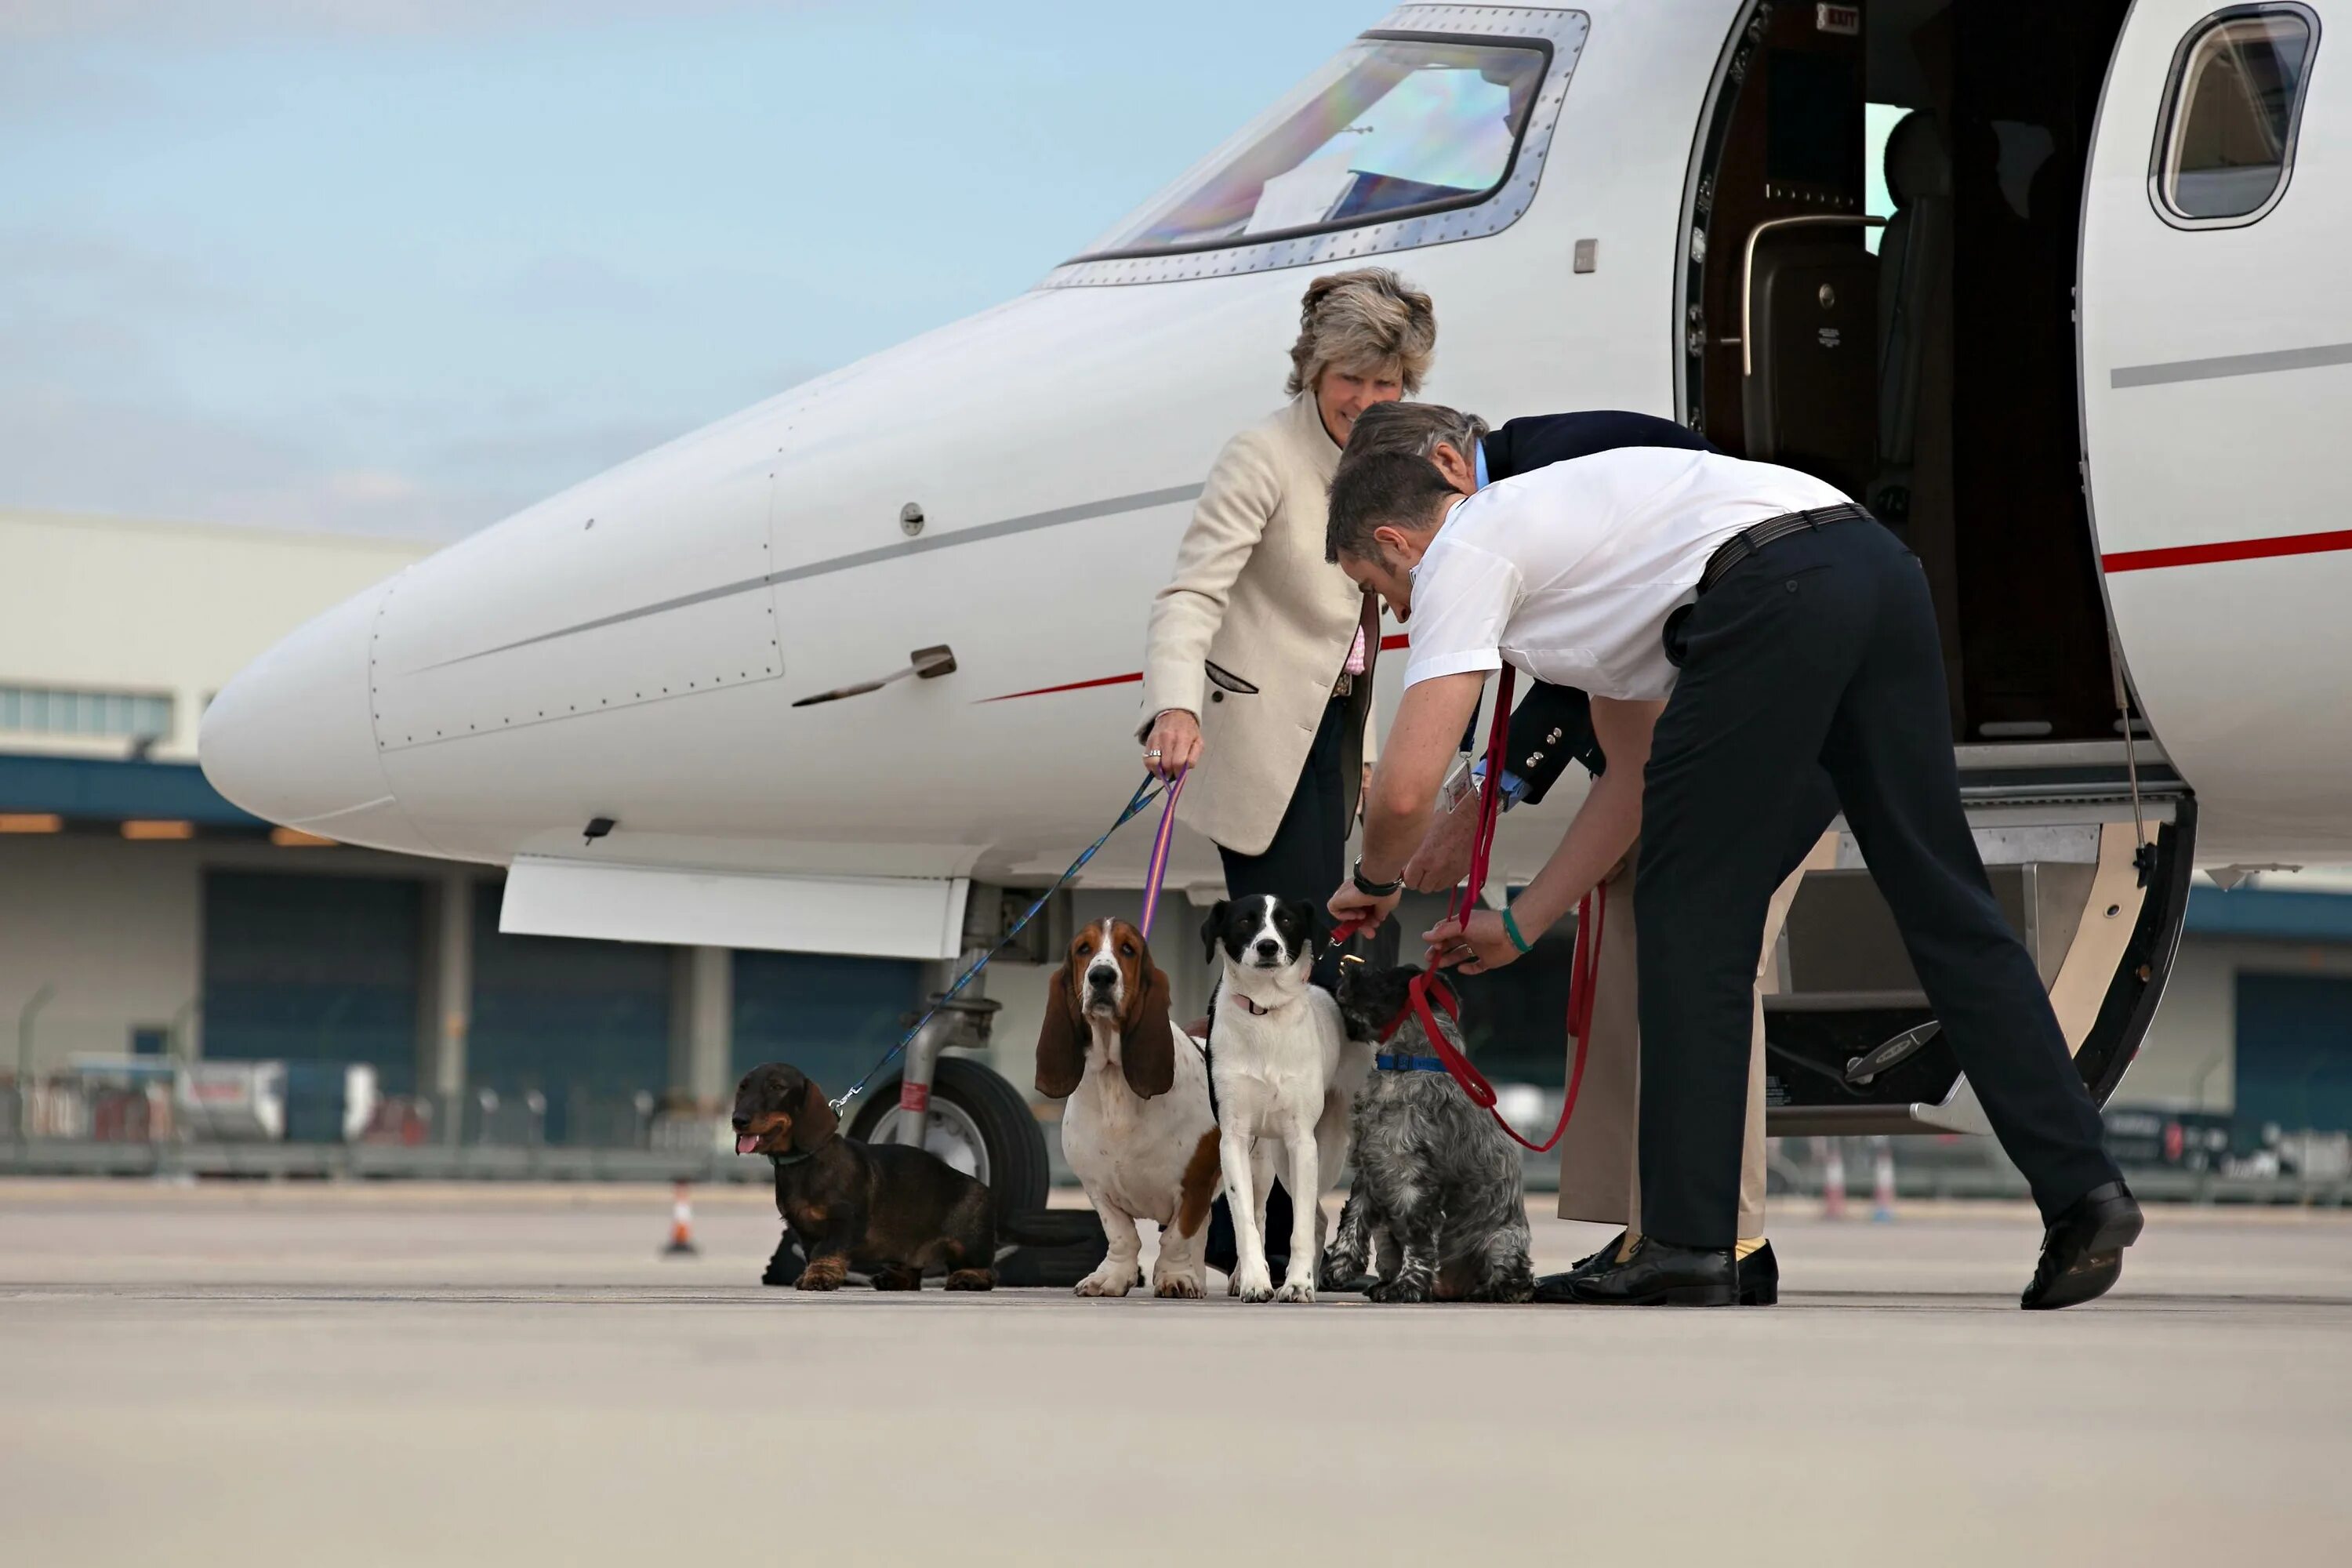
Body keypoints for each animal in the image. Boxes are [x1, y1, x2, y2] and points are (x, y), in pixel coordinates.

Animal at [1204, 893, 1374, 1298]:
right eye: (1244, 921)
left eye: (1286, 921)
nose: (1268, 946)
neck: (1264, 1011)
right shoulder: (1233, 1139)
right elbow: (1245, 1219)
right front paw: (1254, 1280)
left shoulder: (1302, 1141)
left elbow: (1298, 1227)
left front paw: (1297, 1284)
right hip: (1267, 1155)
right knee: (1267, 1211)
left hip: (1323, 1146)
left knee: (1315, 1216)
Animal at [1327, 964, 1543, 1307]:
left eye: (1381, 978)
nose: (1344, 975)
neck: (1403, 1067)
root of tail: (1451, 1290)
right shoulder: (1368, 1169)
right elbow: (1352, 1221)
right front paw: (1339, 1268)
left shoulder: (1417, 1184)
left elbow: (1418, 1244)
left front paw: (1405, 1288)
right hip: (1386, 1233)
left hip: (1503, 1241)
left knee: (1519, 1280)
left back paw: (1496, 1291)